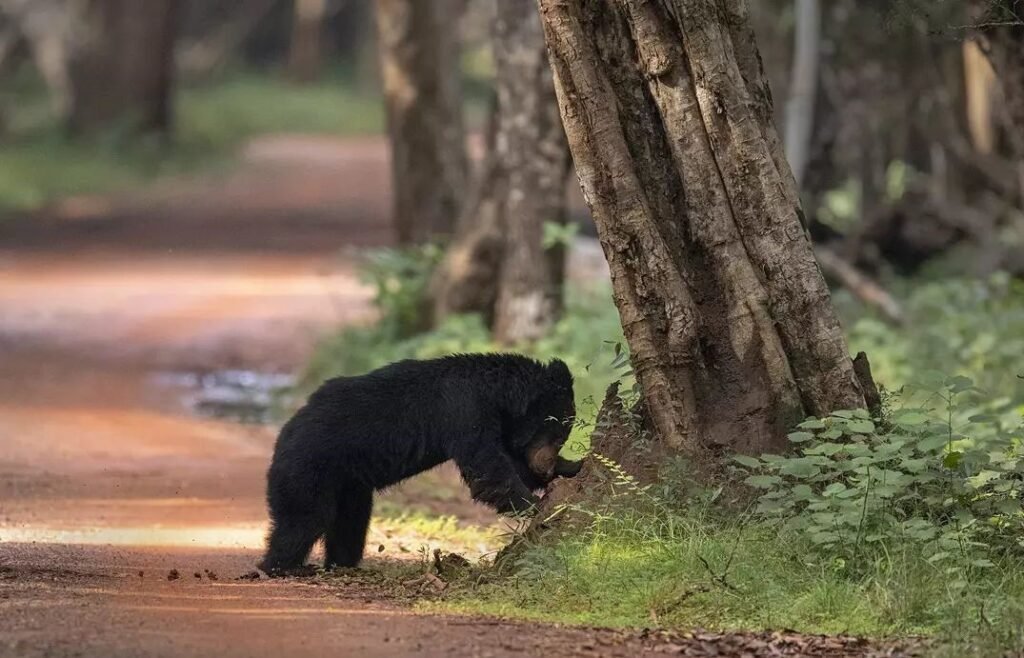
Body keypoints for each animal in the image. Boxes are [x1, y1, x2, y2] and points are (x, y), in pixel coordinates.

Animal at [258, 352, 585, 573]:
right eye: (559, 432)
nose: (546, 466)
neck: (497, 395)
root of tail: (283, 437)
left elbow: (510, 462)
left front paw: (574, 467)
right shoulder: (464, 410)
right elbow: (488, 467)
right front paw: (535, 505)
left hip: (349, 485)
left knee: (349, 523)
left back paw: (343, 562)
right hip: (310, 470)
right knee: (304, 519)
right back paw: (281, 566)